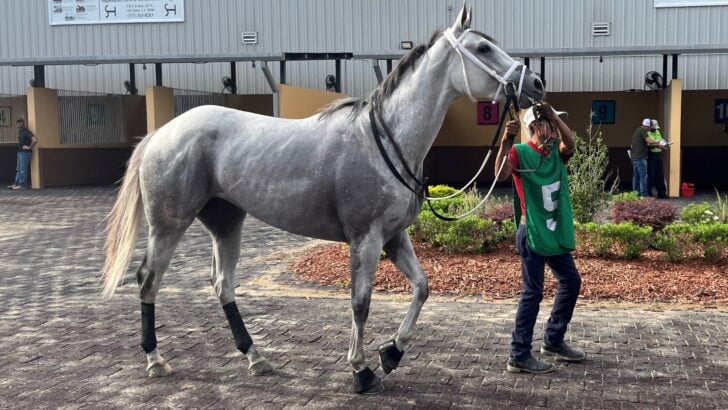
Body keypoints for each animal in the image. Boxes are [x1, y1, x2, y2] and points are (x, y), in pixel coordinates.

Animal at [102, 5, 545, 394]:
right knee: (149, 280)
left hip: (226, 222)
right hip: (169, 224)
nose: (536, 85)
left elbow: (421, 288)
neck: (386, 139)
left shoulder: (394, 237)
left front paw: (392, 353)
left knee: (222, 285)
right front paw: (361, 371)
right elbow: (360, 302)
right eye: (483, 48)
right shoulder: (365, 239)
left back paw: (255, 357)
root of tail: (160, 133)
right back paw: (156, 360)